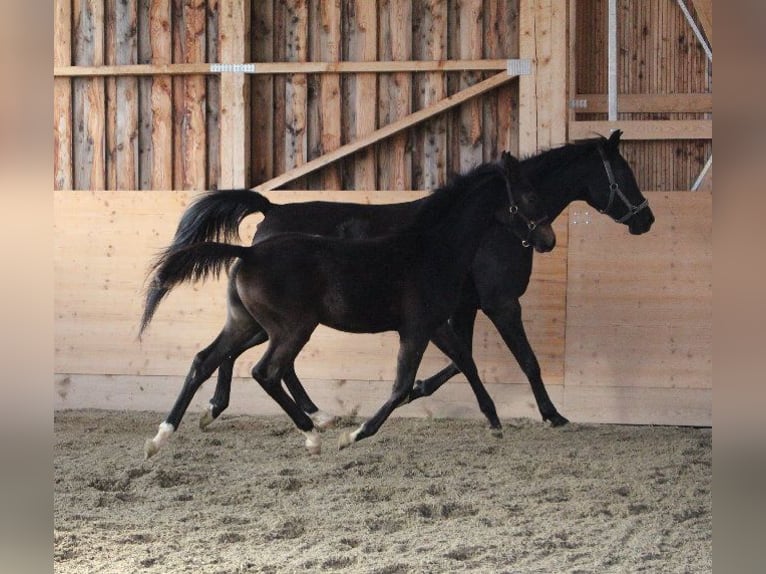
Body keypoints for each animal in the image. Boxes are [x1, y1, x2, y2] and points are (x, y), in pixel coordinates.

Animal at [141, 153, 556, 460]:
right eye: (529, 198)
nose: (548, 240)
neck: (432, 250)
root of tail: (248, 252)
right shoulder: (416, 329)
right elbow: (402, 385)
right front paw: (356, 435)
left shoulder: (437, 325)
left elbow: (465, 362)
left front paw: (494, 422)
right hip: (291, 329)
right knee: (267, 371)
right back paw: (313, 434)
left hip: (245, 324)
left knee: (205, 360)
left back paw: (162, 436)